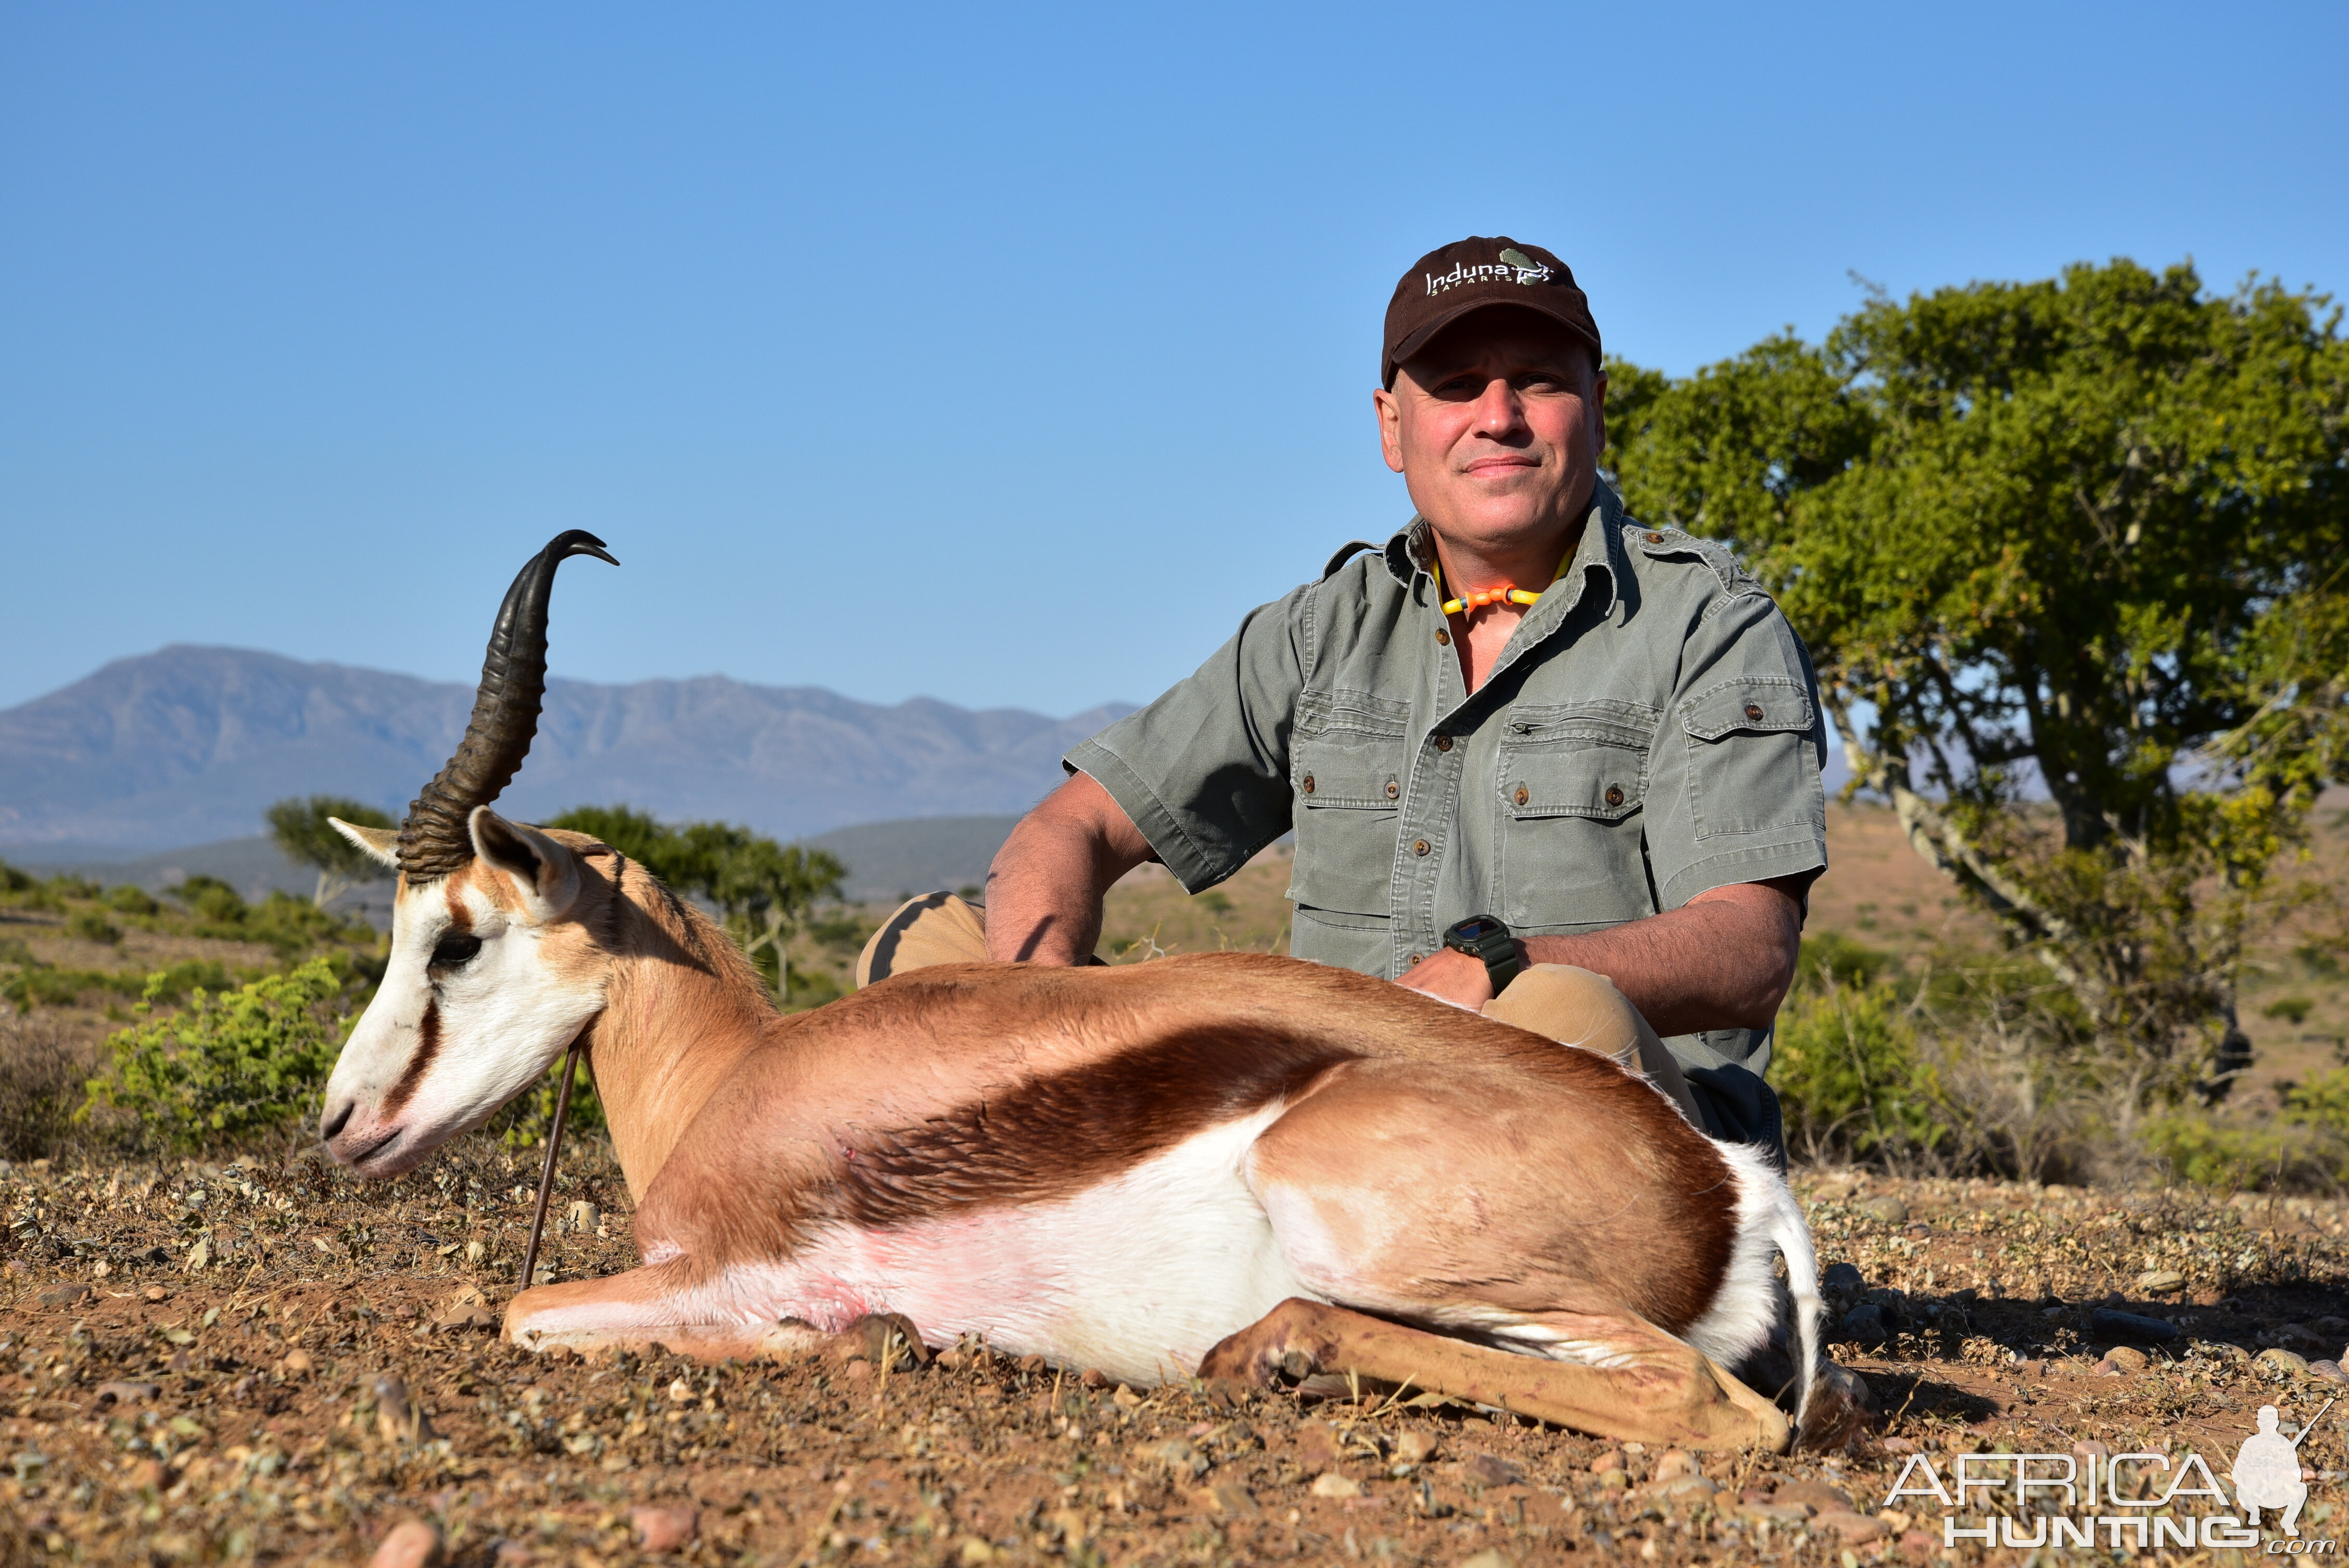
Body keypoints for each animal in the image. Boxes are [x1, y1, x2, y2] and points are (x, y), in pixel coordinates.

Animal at [317, 533, 1832, 1455]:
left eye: (455, 938)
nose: (339, 1127)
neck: (735, 1079)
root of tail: (1724, 1185)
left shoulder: (719, 1270)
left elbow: (531, 1312)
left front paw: (871, 1341)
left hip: (1360, 1214)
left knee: (1706, 1402)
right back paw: (1276, 1351)